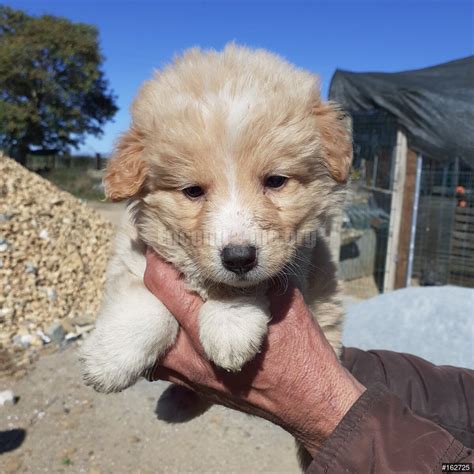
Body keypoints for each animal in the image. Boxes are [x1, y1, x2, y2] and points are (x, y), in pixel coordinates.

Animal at [78, 42, 352, 462]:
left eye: (275, 181)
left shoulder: (299, 259)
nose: (239, 258)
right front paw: (111, 359)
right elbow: (143, 303)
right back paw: (174, 402)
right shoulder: (136, 254)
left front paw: (230, 324)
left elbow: (246, 287)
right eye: (192, 191)